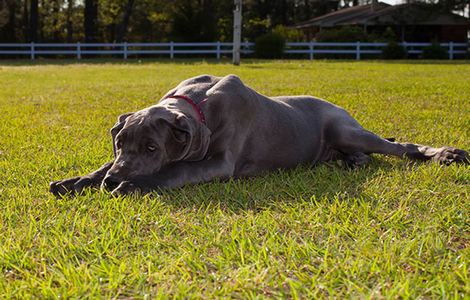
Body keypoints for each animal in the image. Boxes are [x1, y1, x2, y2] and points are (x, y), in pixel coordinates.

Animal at [49, 74, 468, 197]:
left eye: (152, 147)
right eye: (120, 144)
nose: (114, 180)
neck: (196, 104)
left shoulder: (219, 162)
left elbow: (175, 170)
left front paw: (132, 185)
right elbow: (98, 166)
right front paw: (77, 181)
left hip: (345, 128)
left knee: (401, 147)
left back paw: (446, 154)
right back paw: (349, 164)